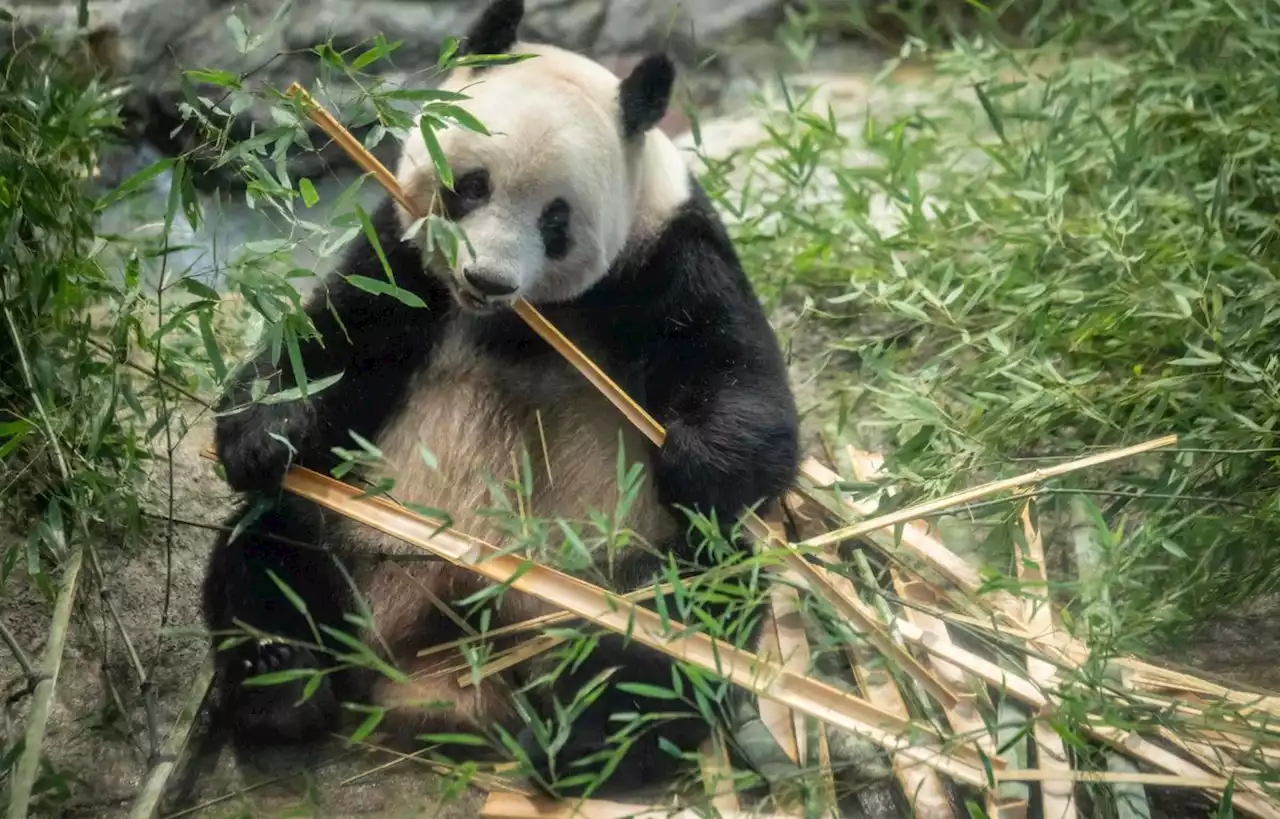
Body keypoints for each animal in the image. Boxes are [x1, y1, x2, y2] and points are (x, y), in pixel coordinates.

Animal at [202, 0, 798, 798]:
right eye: (470, 186)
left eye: (556, 219)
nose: (485, 278)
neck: (516, 319)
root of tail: (446, 670)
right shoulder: (405, 258)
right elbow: (327, 344)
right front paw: (263, 434)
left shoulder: (670, 252)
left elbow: (744, 387)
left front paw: (696, 459)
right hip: (356, 534)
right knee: (269, 548)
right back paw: (279, 680)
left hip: (610, 571)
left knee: (685, 609)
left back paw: (593, 735)